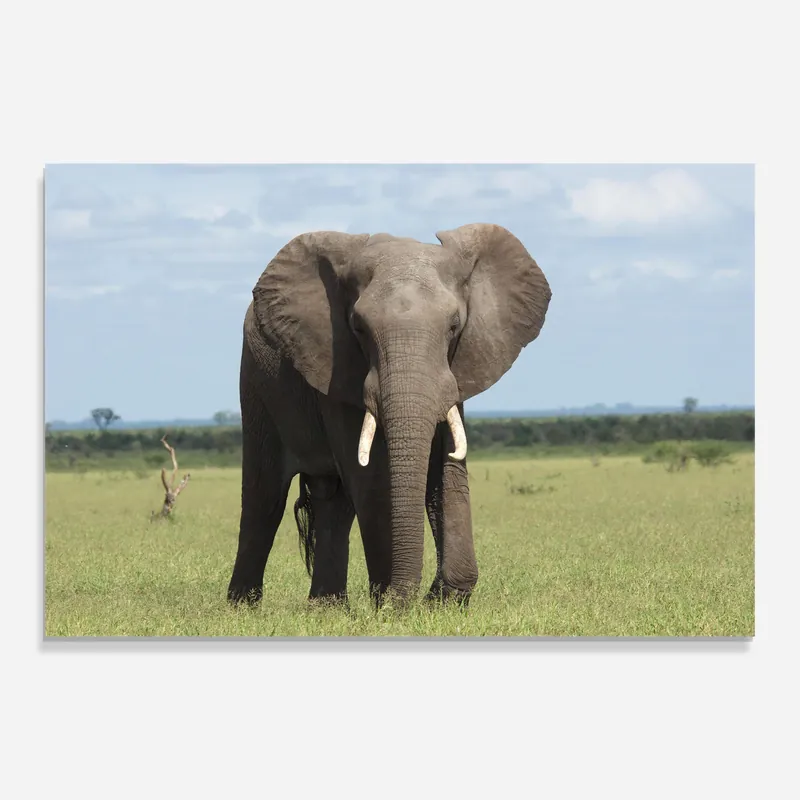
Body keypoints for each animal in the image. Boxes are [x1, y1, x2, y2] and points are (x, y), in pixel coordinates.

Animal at [227, 223, 552, 608]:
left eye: (454, 326)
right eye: (358, 327)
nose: (417, 596)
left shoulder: (455, 369)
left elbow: (448, 469)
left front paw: (442, 600)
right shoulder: (337, 367)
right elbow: (370, 476)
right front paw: (392, 604)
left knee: (332, 499)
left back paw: (326, 609)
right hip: (255, 383)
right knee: (264, 498)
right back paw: (242, 607)